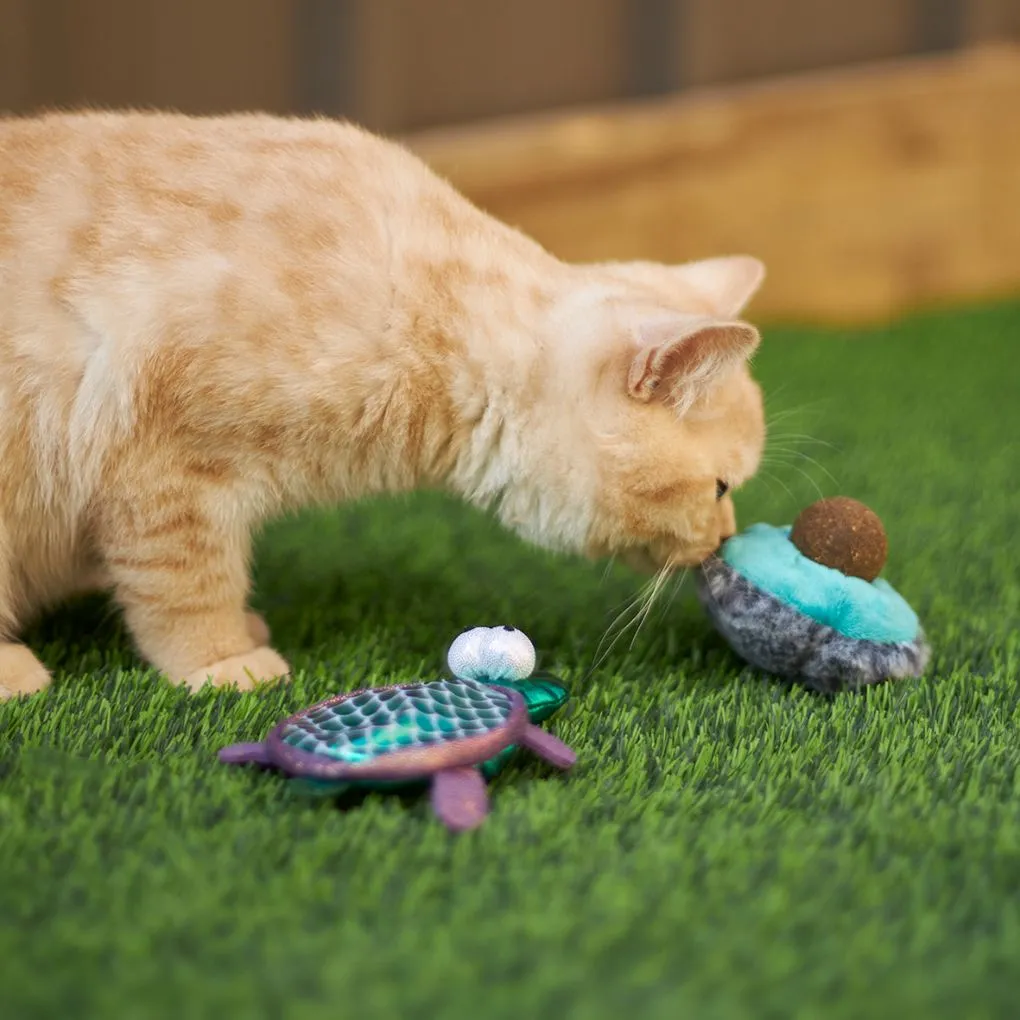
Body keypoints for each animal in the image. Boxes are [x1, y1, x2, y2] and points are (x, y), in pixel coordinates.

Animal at [0, 113, 767, 701]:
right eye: (720, 489)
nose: (727, 537)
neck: (430, 323)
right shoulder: (164, 478)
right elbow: (186, 588)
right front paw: (222, 660)